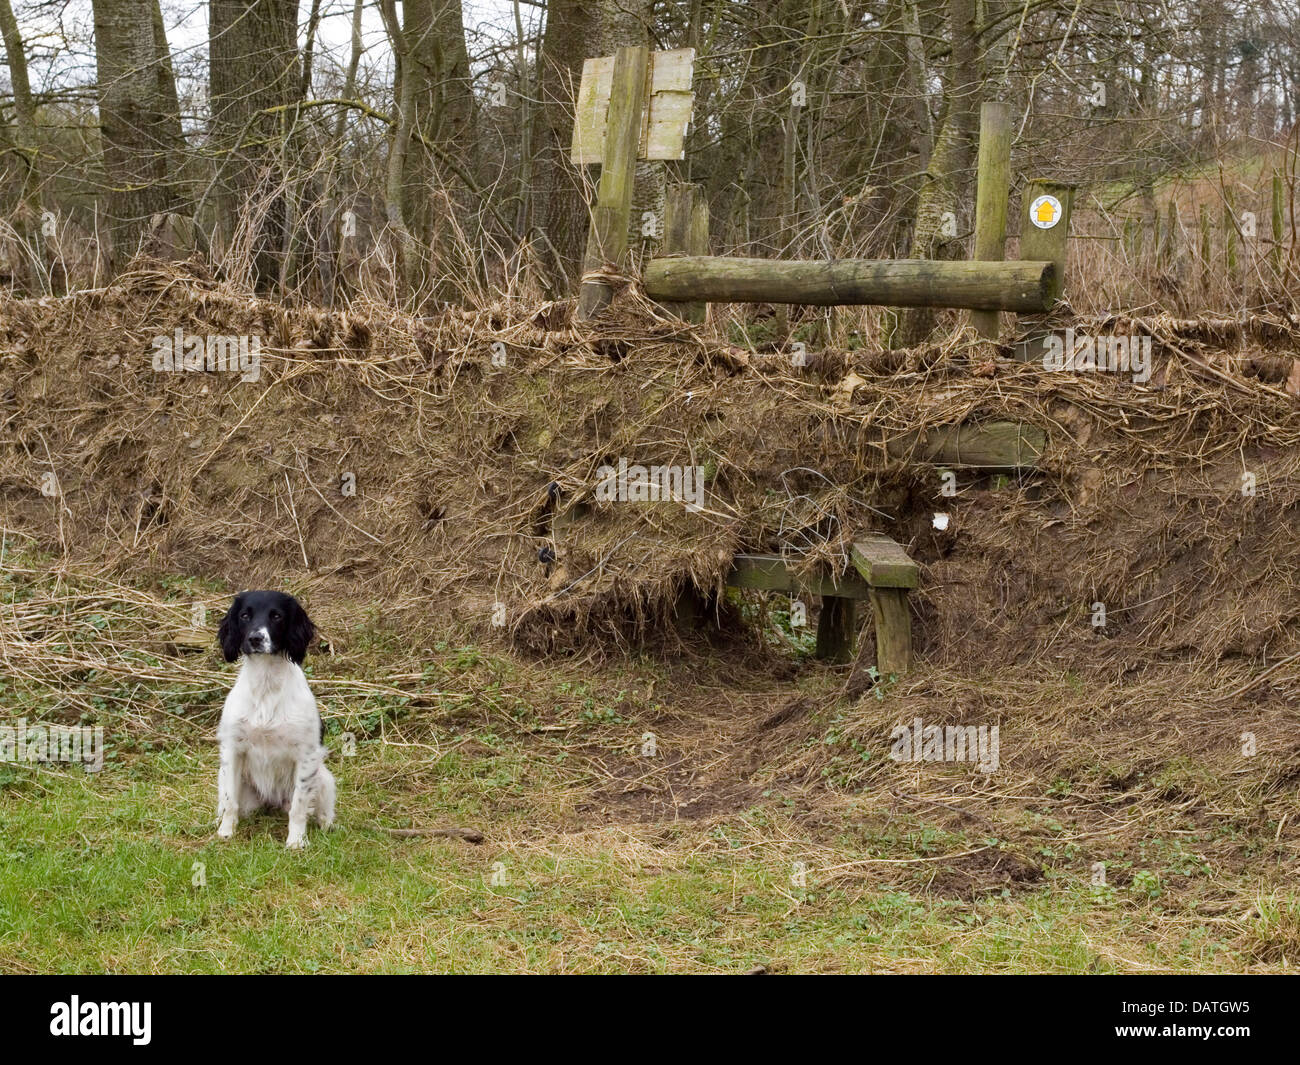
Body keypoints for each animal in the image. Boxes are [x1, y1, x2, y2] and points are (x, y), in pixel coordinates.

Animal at [215, 590, 335, 847]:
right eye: (244, 615)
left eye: (277, 616)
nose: (255, 638)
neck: (266, 685)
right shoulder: (232, 749)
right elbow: (230, 801)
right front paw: (226, 832)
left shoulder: (307, 754)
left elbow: (299, 808)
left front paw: (296, 841)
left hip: (323, 777)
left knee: (320, 811)